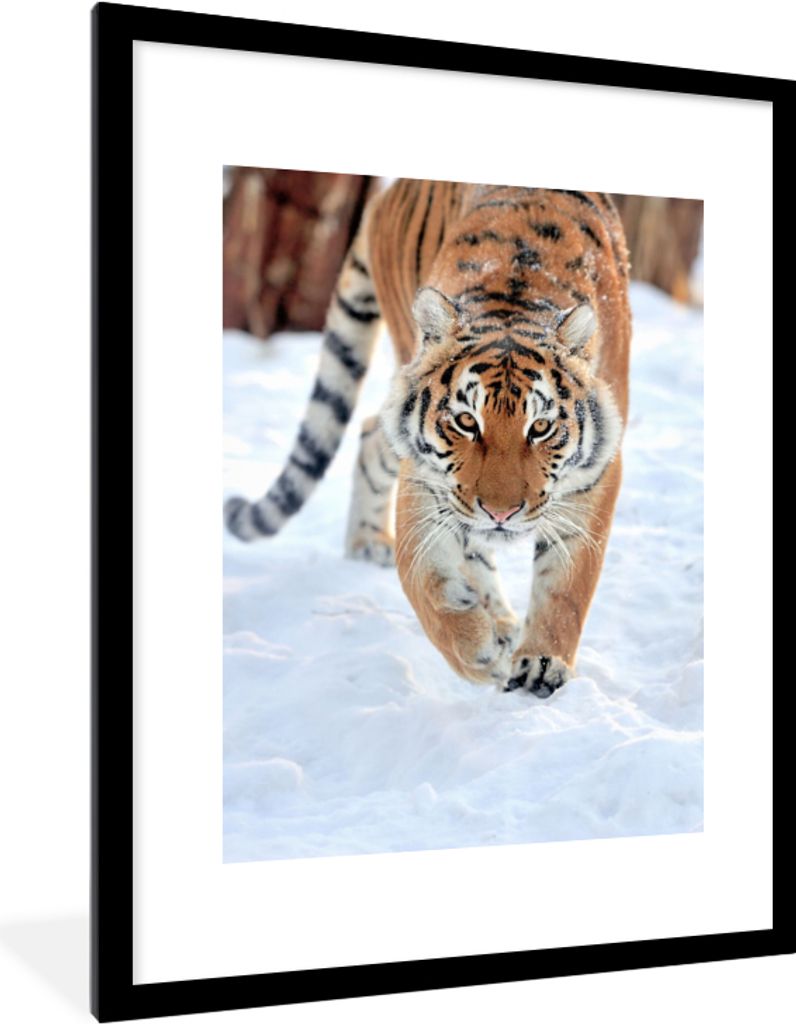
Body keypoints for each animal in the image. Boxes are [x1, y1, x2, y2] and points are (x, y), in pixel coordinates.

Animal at [225, 179, 631, 697]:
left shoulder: (597, 472)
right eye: (466, 421)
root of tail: (391, 187)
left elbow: (567, 584)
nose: (500, 513)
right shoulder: (425, 476)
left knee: (371, 432)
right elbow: (424, 581)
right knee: (375, 438)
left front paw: (542, 662)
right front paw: (479, 651)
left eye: (540, 427)